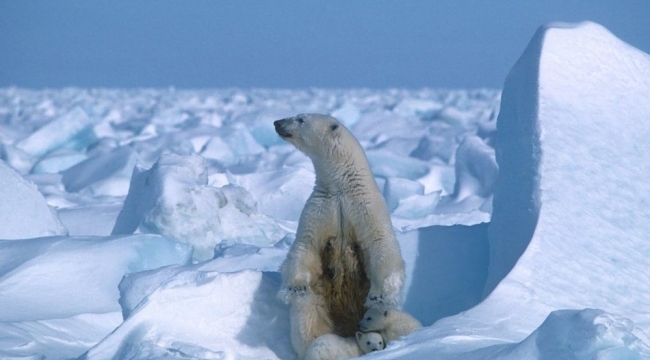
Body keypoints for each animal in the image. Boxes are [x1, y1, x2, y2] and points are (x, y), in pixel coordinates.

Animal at [274, 114, 404, 358]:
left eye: (300, 118)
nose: (277, 123)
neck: (341, 187)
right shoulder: (320, 209)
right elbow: (305, 246)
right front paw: (295, 286)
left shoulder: (365, 208)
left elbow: (381, 244)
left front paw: (379, 296)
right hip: (321, 298)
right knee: (308, 315)